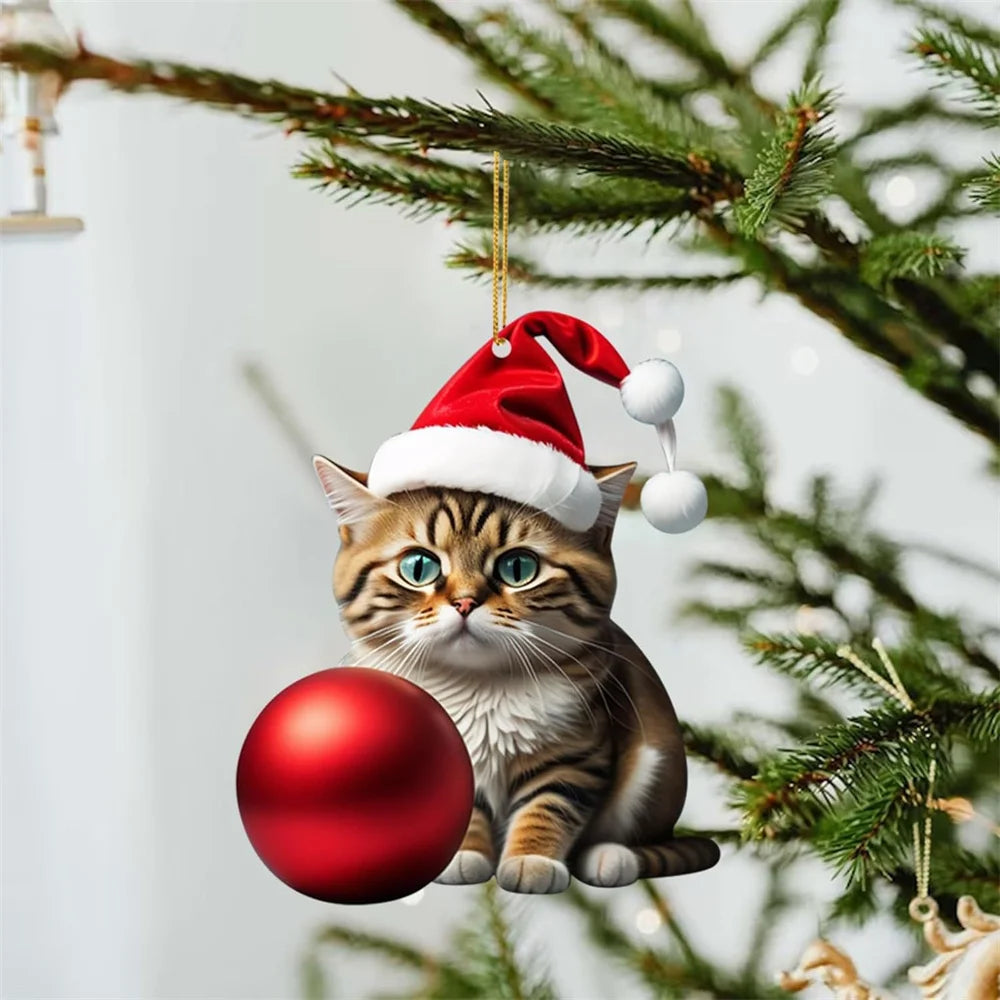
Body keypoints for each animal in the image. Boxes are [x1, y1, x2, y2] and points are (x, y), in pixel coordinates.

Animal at [312, 458, 720, 896]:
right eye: (419, 567)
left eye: (518, 568)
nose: (465, 602)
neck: (477, 684)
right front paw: (463, 855)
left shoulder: (578, 749)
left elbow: (550, 804)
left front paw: (532, 861)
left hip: (654, 758)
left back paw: (609, 858)